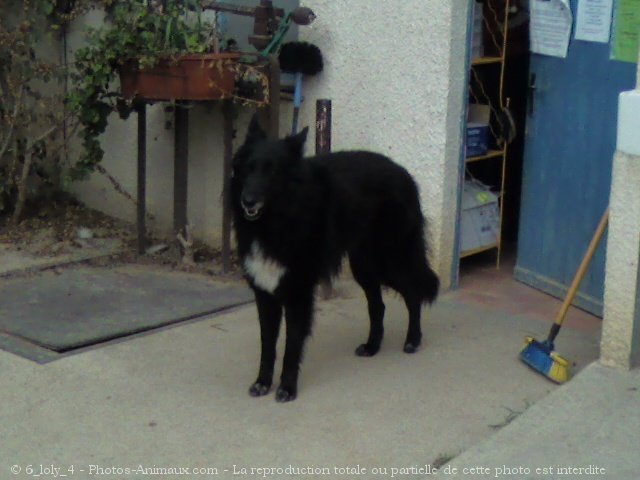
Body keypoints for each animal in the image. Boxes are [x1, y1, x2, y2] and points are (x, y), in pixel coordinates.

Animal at [231, 116, 440, 402]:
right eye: (248, 169)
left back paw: (413, 340)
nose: (247, 201)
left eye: (271, 172)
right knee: (378, 305)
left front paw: (287, 388)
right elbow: (267, 345)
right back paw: (372, 346)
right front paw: (263, 382)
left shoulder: (298, 294)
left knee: (413, 292)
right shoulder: (265, 292)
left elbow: (291, 345)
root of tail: (404, 172)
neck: (280, 218)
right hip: (364, 265)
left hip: (390, 260)